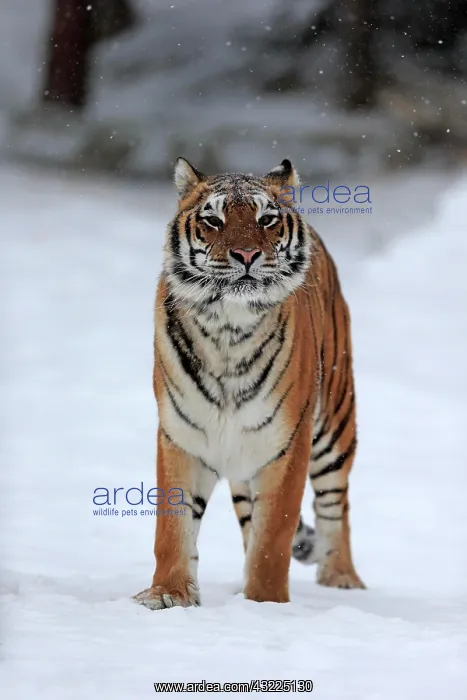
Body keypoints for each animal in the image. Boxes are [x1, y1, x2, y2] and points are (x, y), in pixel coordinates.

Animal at [134, 157, 365, 610]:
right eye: (213, 219)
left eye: (266, 219)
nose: (246, 254)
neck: (228, 327)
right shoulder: (182, 437)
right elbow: (173, 529)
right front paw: (168, 595)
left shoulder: (287, 443)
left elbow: (273, 538)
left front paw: (264, 604)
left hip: (333, 427)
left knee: (336, 504)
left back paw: (342, 579)